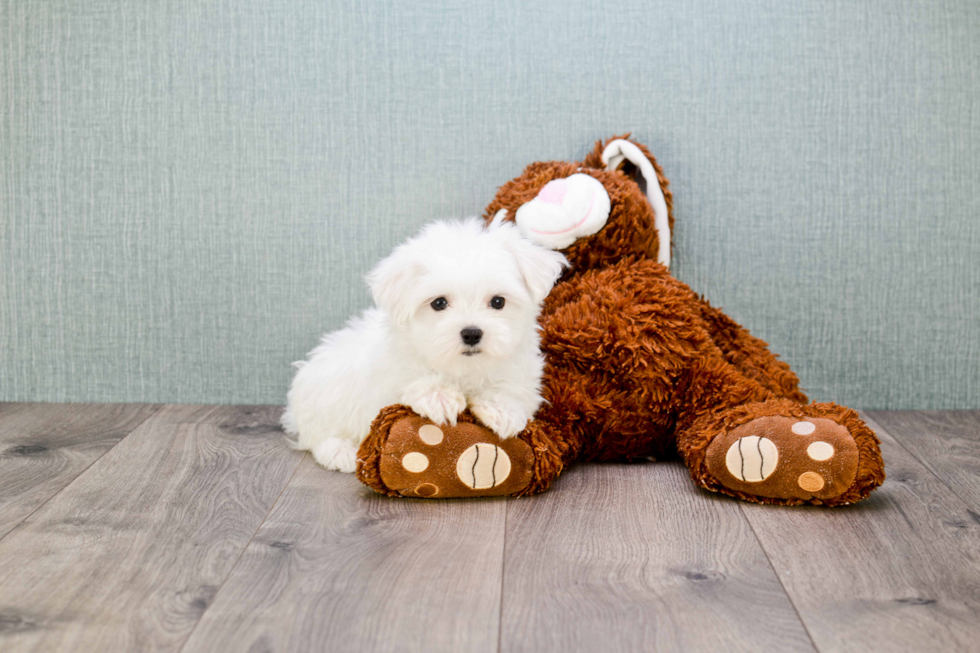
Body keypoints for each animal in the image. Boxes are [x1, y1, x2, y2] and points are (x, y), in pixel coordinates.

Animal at [280, 216, 568, 472]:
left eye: (498, 302)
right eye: (439, 303)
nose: (472, 333)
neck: (462, 368)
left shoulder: (523, 374)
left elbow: (511, 389)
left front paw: (501, 409)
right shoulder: (390, 375)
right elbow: (411, 378)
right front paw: (439, 397)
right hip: (326, 390)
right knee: (318, 434)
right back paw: (341, 451)